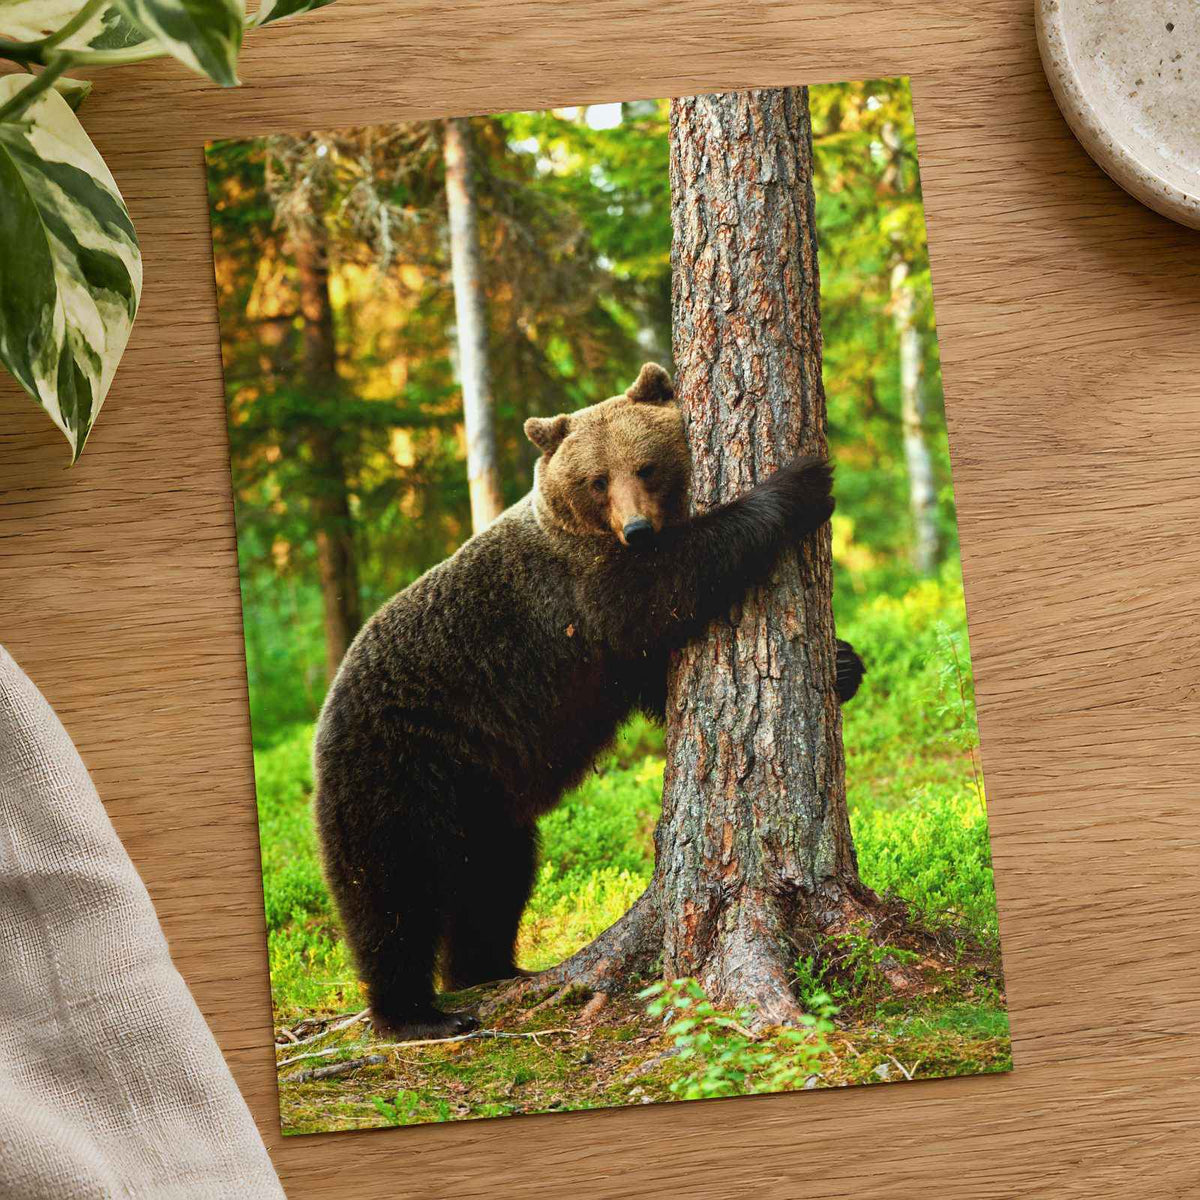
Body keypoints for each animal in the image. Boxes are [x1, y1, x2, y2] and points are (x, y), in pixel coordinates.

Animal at [313, 363, 864, 1040]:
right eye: (597, 480)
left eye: (646, 467)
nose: (638, 529)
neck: (590, 533)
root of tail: (324, 720)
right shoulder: (578, 597)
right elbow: (667, 591)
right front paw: (802, 483)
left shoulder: (608, 650)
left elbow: (661, 676)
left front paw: (844, 663)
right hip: (397, 769)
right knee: (391, 892)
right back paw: (418, 1014)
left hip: (481, 793)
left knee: (495, 874)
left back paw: (492, 969)